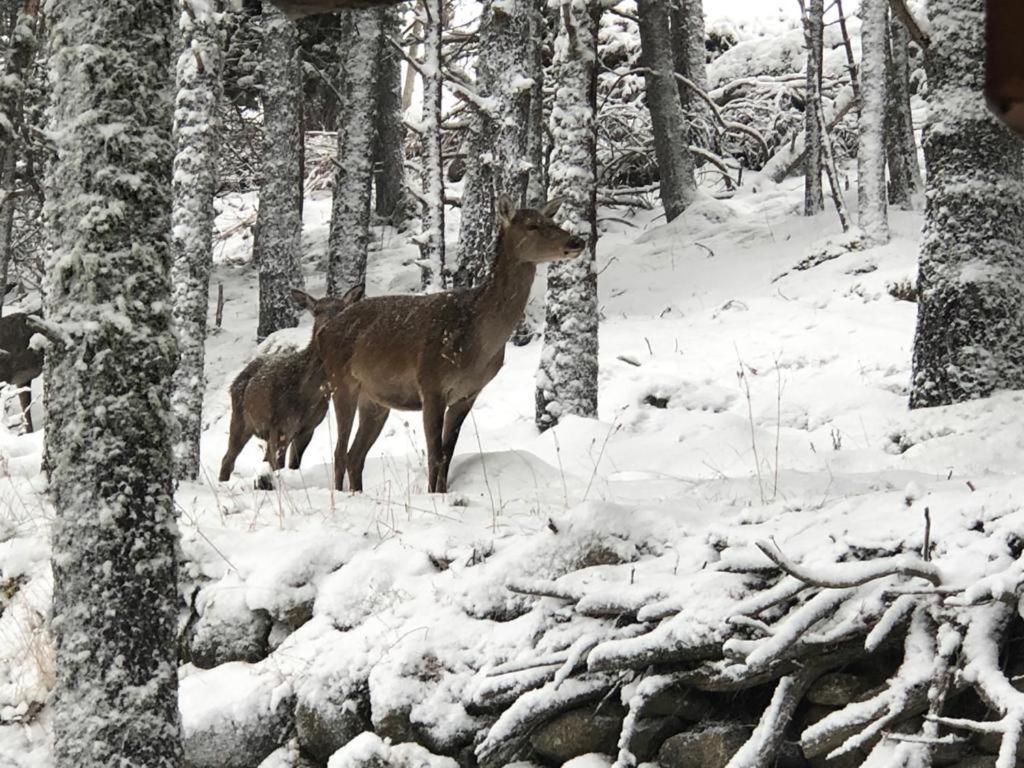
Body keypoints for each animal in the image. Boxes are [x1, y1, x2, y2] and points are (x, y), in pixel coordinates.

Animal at [217, 286, 364, 483]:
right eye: (316, 310)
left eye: (342, 309)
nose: (325, 329)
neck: (307, 392)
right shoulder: (279, 425)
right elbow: (277, 465)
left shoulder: (308, 428)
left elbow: (293, 465)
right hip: (240, 419)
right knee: (228, 459)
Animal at [311, 195, 585, 495]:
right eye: (532, 225)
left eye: (552, 220)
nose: (577, 241)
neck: (477, 344)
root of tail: (323, 332)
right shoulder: (431, 384)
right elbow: (435, 455)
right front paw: (433, 496)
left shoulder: (468, 394)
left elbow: (448, 454)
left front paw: (441, 493)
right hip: (342, 382)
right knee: (339, 452)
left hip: (375, 399)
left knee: (355, 455)